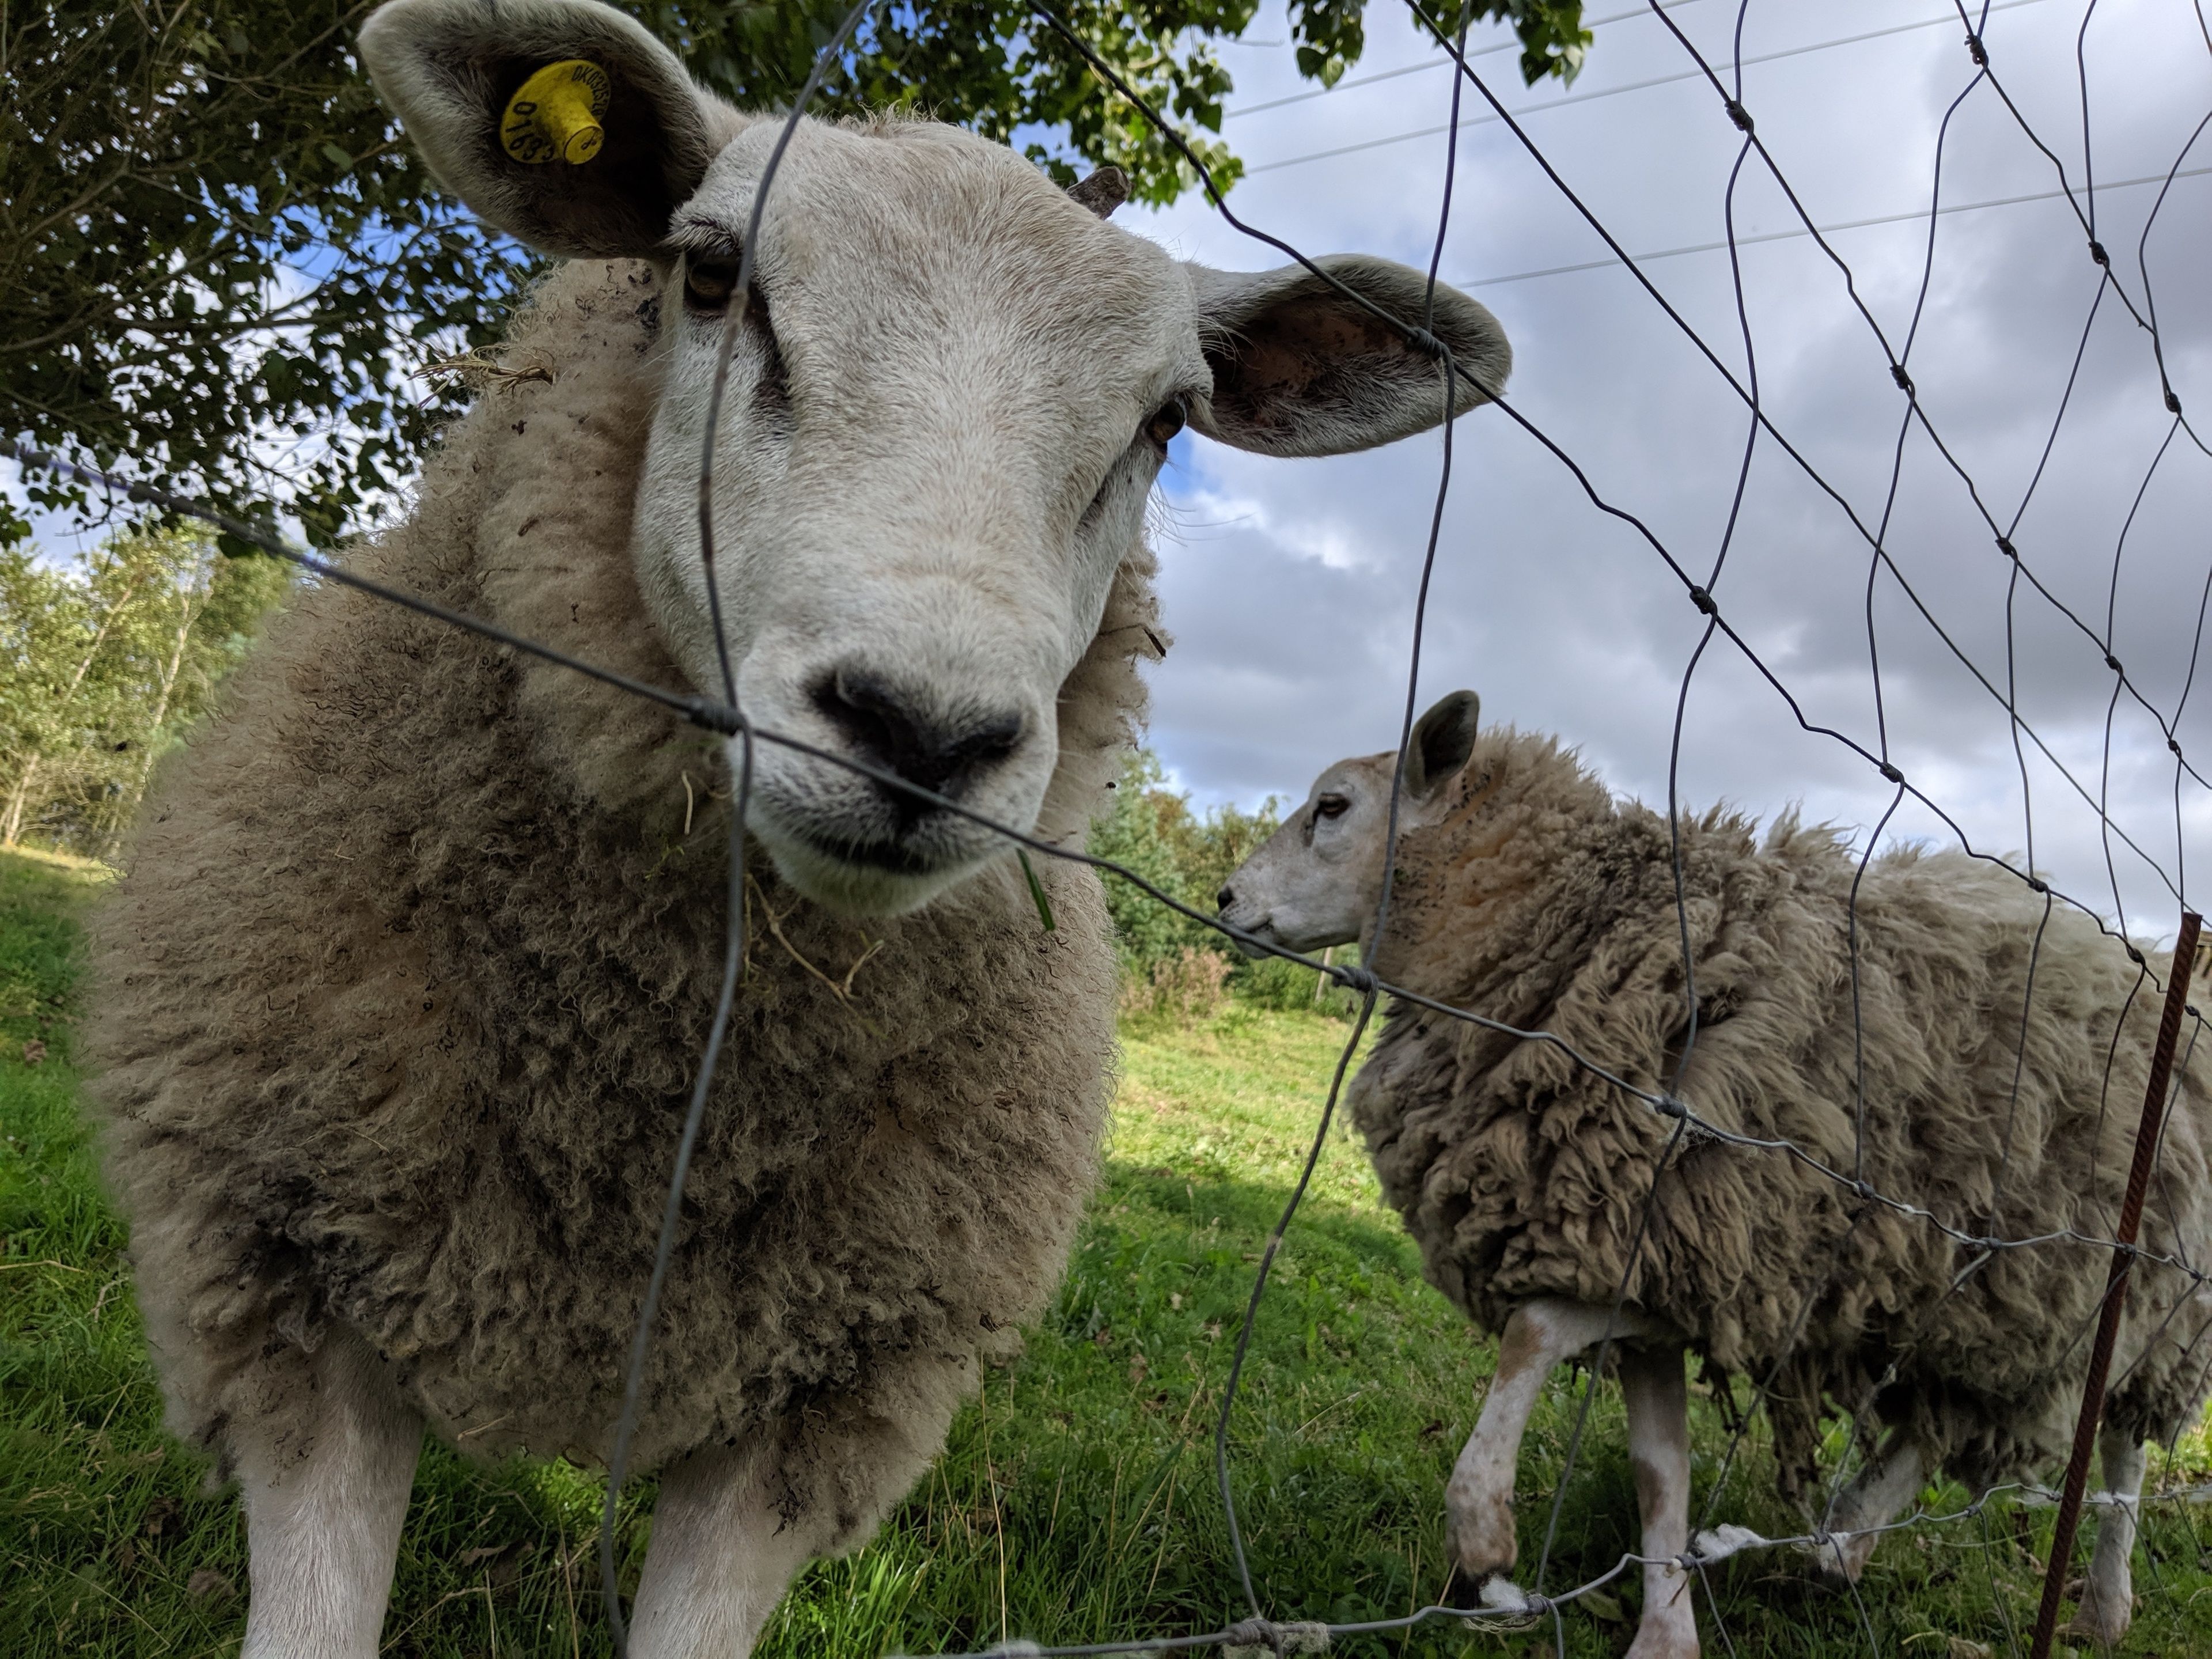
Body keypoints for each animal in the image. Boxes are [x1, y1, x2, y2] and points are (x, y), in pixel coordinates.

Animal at [82, 3, 1515, 1654]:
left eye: (1167, 420)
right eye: (709, 274)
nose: (924, 732)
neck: (634, 1097)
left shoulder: (823, 1401)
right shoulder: (292, 1301)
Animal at [1215, 690, 2212, 1659]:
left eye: (1333, 806)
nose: (1225, 896)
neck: (1576, 933)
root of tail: (2163, 973)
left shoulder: (1703, 1249)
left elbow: (1532, 1333)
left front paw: (1484, 1533)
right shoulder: (1657, 1268)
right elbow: (1661, 1472)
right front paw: (1666, 1634)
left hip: (2144, 1303)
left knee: (2119, 1454)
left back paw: (2097, 1604)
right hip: (1989, 1301)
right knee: (1941, 1421)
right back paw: (1845, 1539)